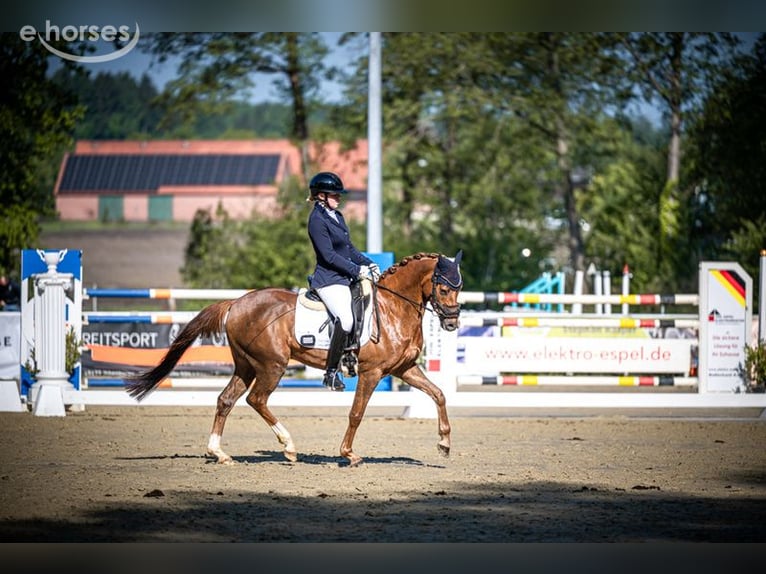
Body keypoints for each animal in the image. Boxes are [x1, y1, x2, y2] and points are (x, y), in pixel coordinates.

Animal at [125, 251, 464, 467]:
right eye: (444, 287)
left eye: (459, 289)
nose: (451, 324)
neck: (394, 308)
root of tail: (236, 302)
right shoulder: (372, 372)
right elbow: (356, 413)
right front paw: (348, 454)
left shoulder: (404, 368)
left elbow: (439, 394)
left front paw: (445, 444)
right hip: (272, 365)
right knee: (256, 400)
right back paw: (288, 447)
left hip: (246, 366)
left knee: (226, 400)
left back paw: (219, 453)